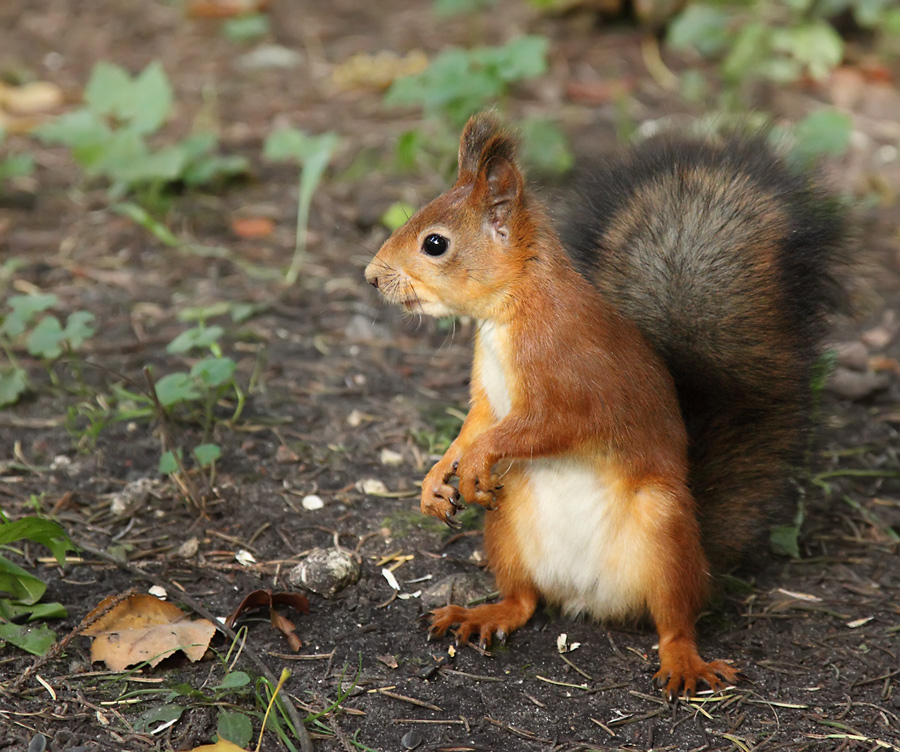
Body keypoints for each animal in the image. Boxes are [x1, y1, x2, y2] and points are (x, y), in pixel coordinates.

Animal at [362, 110, 848, 692]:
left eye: (435, 244)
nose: (371, 278)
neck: (511, 311)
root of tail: (588, 598)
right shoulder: (488, 393)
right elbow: (476, 421)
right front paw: (437, 478)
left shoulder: (574, 383)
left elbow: (541, 427)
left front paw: (474, 462)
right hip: (509, 524)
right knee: (524, 600)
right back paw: (482, 613)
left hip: (664, 531)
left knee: (676, 618)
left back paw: (684, 661)